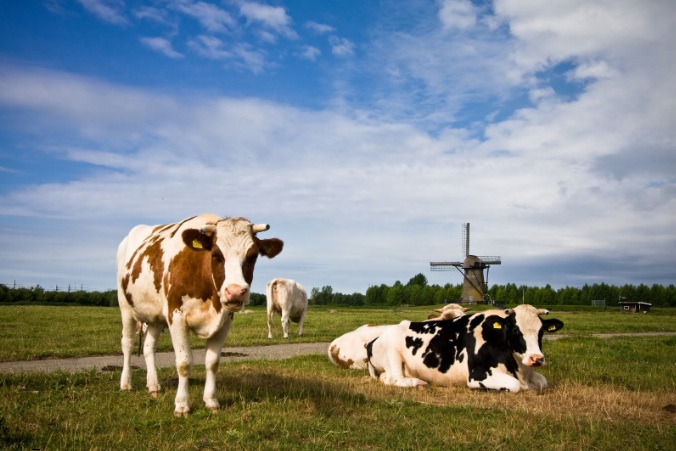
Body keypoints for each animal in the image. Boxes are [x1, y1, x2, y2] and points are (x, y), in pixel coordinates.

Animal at [116, 214, 283, 416]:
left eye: (252, 256)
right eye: (217, 255)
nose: (235, 292)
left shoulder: (224, 321)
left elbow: (212, 362)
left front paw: (211, 401)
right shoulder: (176, 317)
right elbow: (184, 363)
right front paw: (181, 405)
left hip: (155, 316)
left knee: (149, 347)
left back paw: (154, 386)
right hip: (125, 307)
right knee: (128, 343)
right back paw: (126, 383)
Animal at [366, 304, 564, 392]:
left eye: (541, 331)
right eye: (515, 330)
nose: (536, 358)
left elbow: (543, 382)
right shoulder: (477, 375)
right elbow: (514, 386)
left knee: (386, 378)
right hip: (393, 354)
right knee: (396, 379)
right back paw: (419, 382)